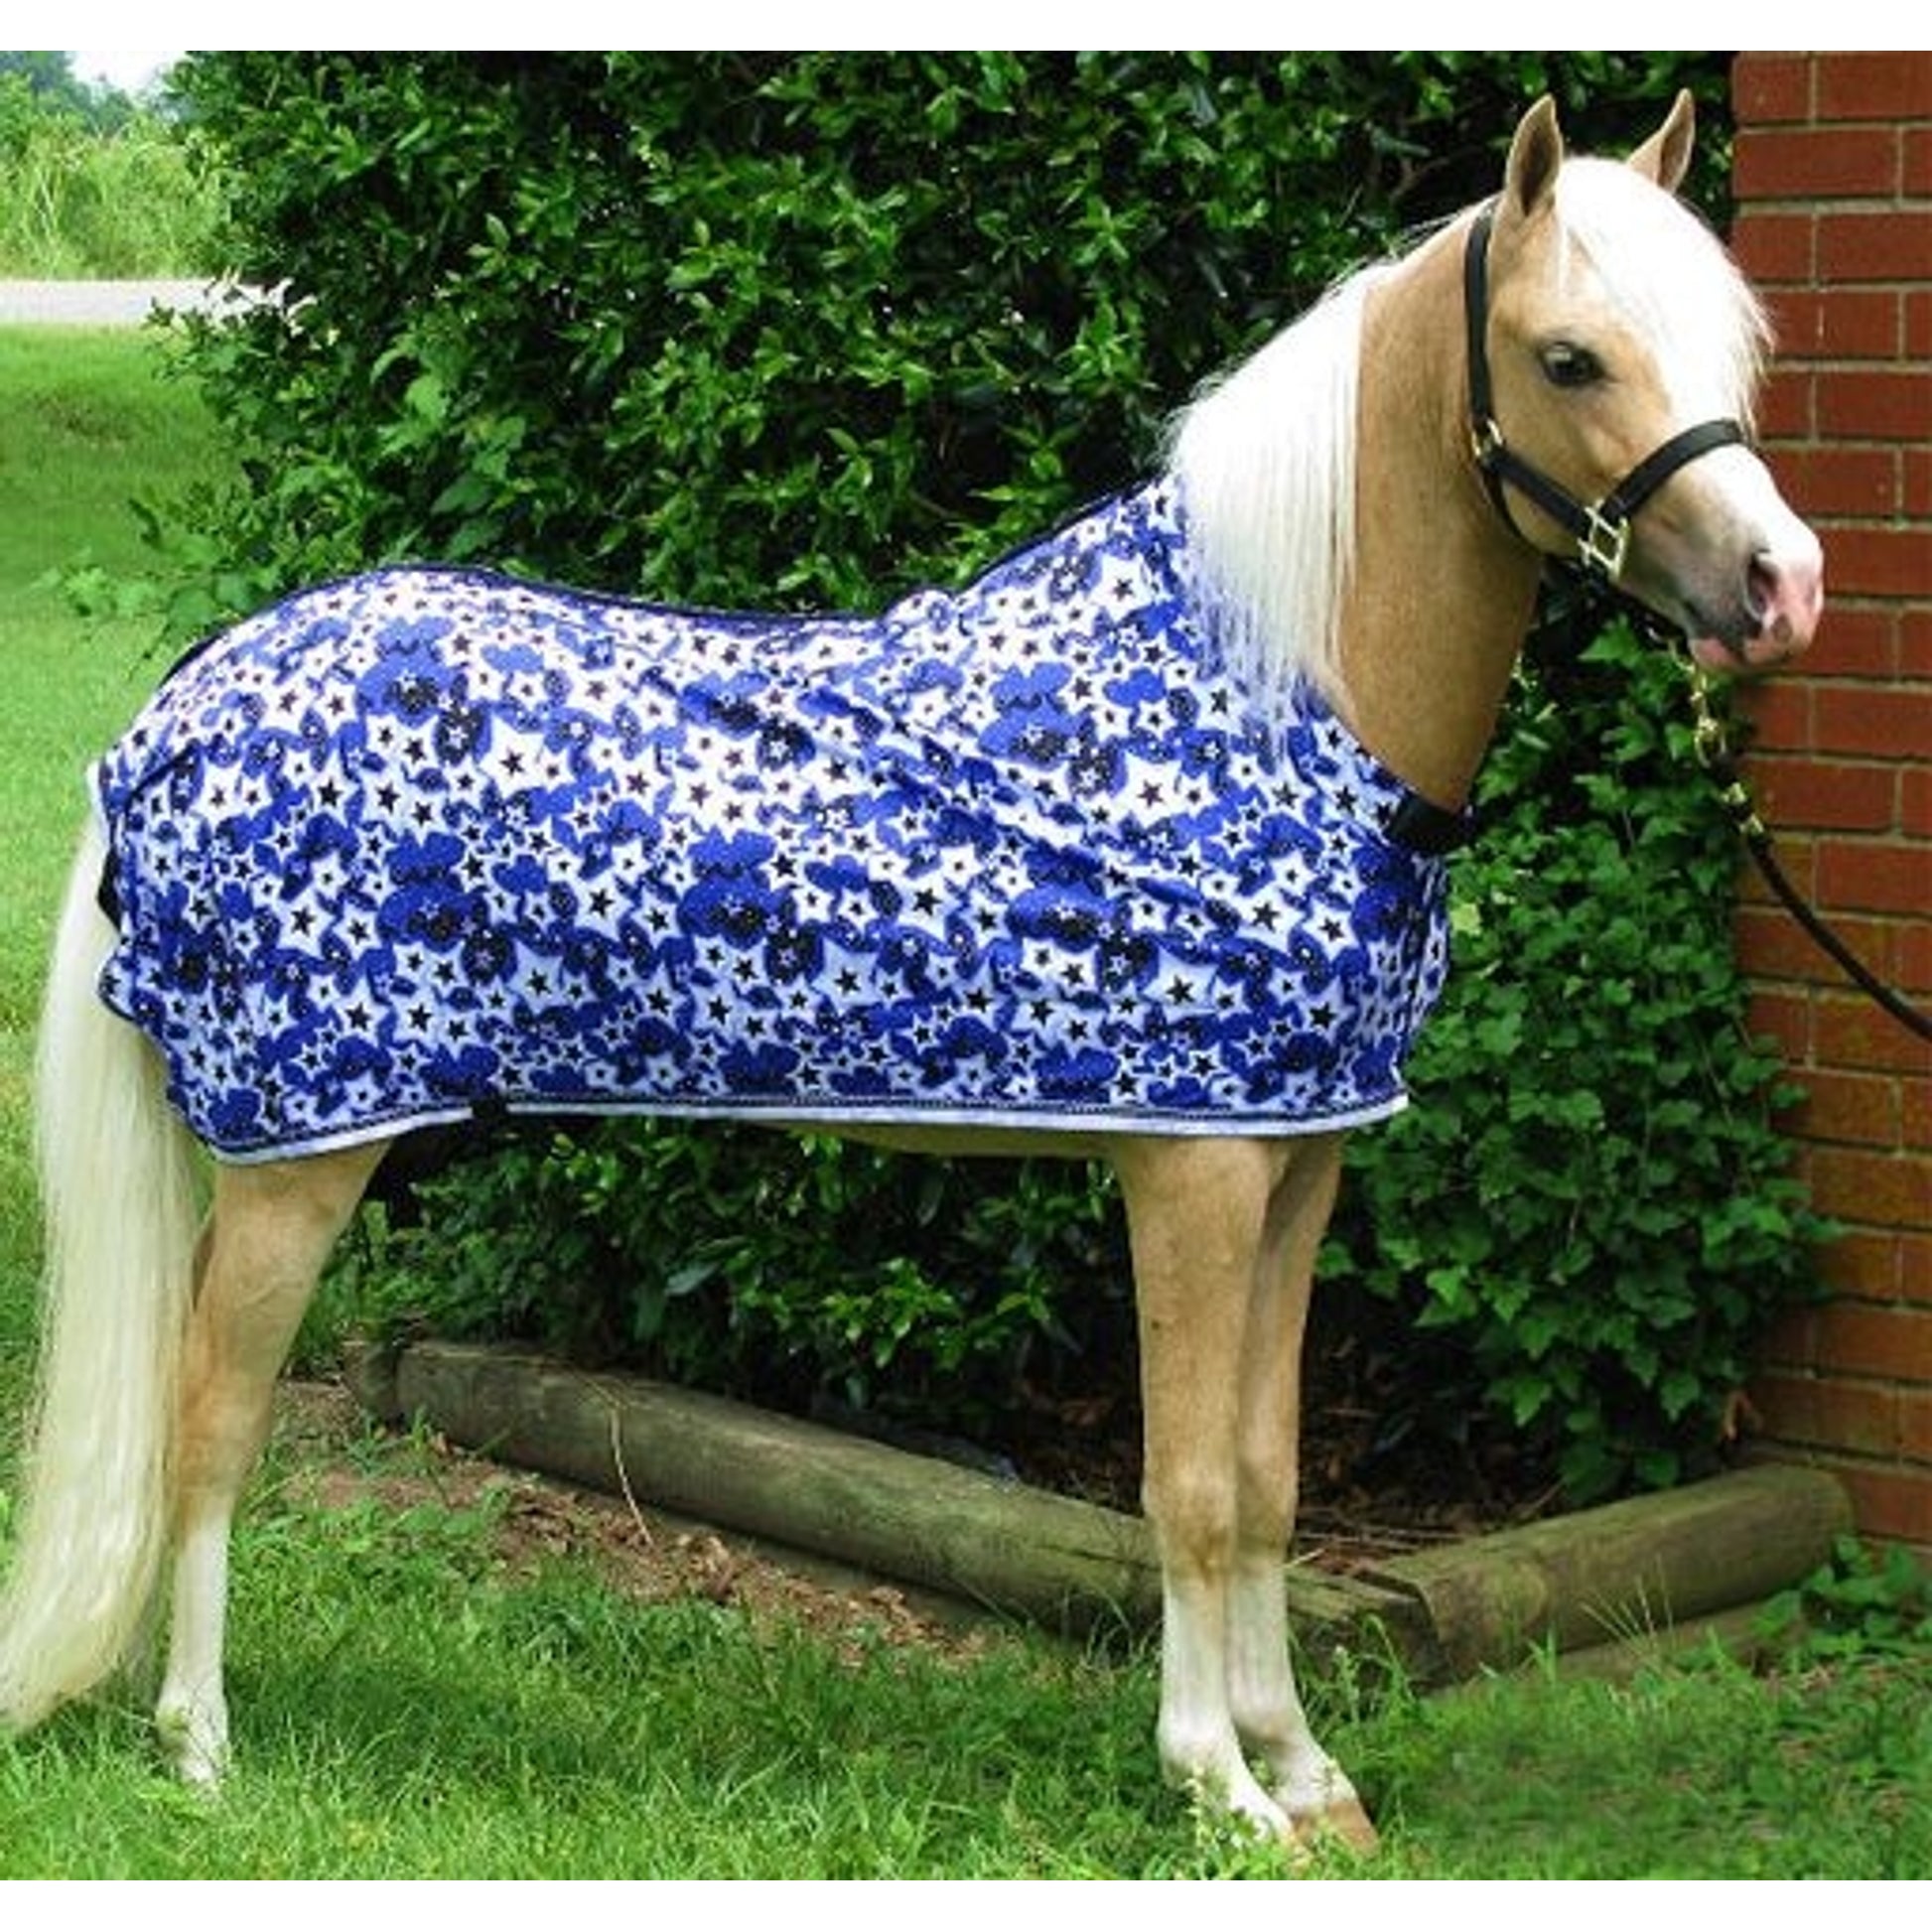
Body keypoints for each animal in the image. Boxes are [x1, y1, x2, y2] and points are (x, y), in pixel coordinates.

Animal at [0, 92, 1821, 1854]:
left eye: (1738, 344)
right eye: (1568, 356)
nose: (1778, 585)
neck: (1264, 695)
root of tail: (176, 708)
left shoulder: (1300, 1163)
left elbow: (1269, 1478)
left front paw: (1306, 1778)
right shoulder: (1193, 1173)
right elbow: (1187, 1487)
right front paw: (1218, 1789)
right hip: (307, 1157)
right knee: (211, 1419)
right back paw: (200, 1748)